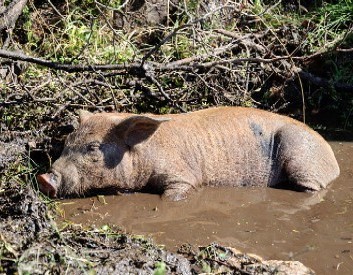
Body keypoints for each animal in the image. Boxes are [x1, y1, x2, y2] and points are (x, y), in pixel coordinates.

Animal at [37, 107, 338, 201]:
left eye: (93, 147)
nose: (44, 178)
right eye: (67, 141)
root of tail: (333, 158)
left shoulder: (183, 175)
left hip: (299, 152)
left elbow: (175, 193)